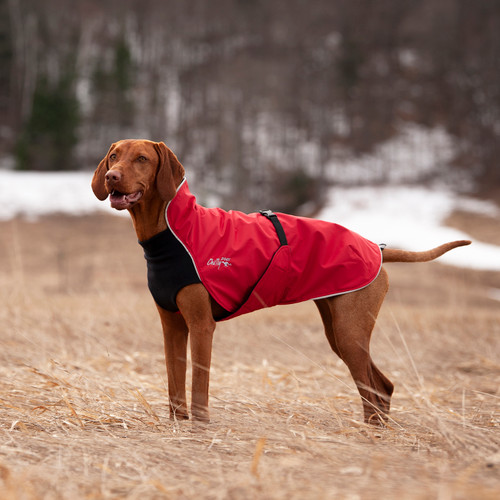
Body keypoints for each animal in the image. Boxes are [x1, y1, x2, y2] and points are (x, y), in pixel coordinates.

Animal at [92, 140, 470, 426]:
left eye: (142, 159)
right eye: (113, 156)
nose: (111, 176)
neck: (170, 232)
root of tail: (376, 248)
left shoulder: (200, 326)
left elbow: (198, 385)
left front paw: (199, 427)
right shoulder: (172, 326)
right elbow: (174, 385)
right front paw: (177, 425)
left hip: (350, 332)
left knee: (374, 388)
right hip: (339, 331)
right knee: (382, 386)